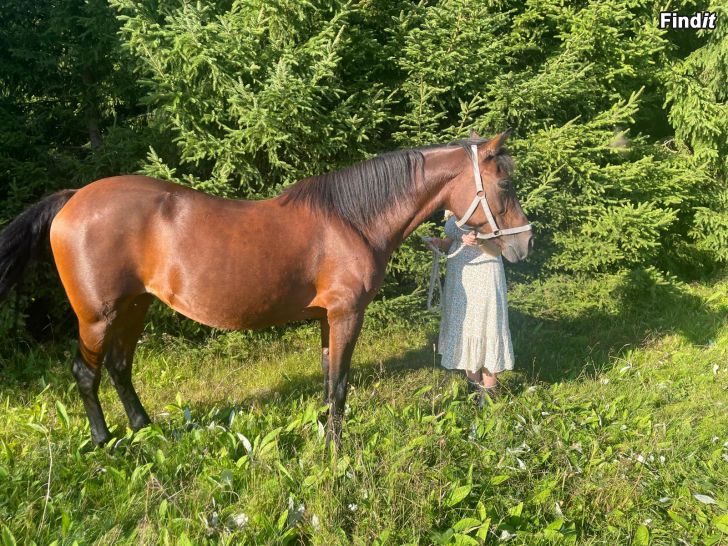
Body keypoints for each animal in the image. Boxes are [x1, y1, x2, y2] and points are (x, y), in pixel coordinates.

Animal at [1, 130, 536, 444]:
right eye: (505, 185)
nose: (524, 244)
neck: (352, 220)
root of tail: (75, 198)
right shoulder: (346, 313)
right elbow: (341, 383)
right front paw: (336, 446)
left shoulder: (327, 318)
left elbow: (328, 379)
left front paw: (324, 431)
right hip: (97, 316)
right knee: (85, 373)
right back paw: (104, 441)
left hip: (135, 307)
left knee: (119, 367)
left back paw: (144, 429)